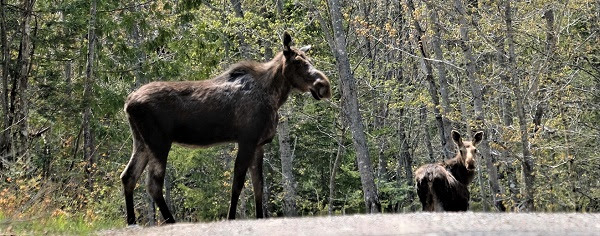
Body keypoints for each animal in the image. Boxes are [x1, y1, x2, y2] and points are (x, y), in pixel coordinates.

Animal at [119, 31, 330, 225]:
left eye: (309, 60)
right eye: (298, 62)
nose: (324, 85)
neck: (274, 96)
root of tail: (128, 102)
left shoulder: (259, 144)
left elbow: (258, 185)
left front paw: (259, 216)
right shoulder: (247, 140)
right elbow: (237, 184)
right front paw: (231, 217)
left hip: (141, 142)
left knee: (128, 176)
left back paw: (131, 221)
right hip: (159, 142)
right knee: (153, 184)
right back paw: (170, 221)